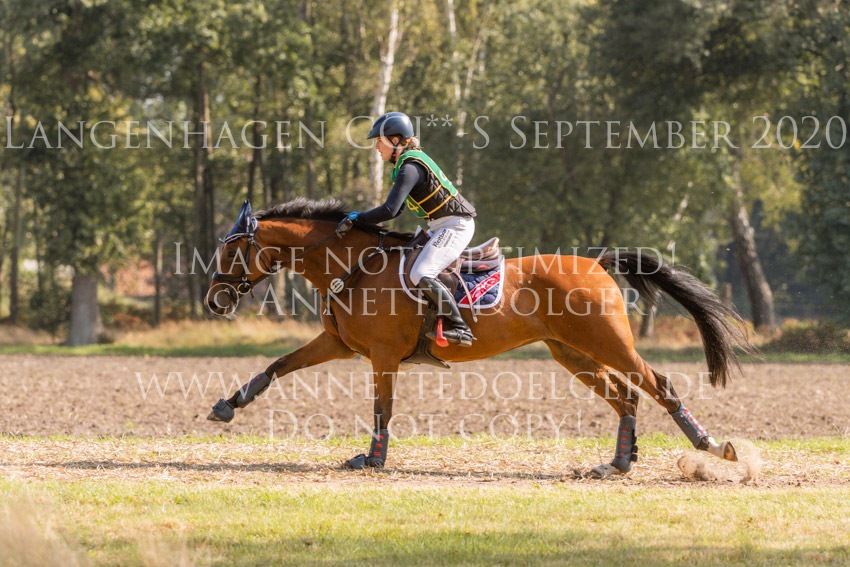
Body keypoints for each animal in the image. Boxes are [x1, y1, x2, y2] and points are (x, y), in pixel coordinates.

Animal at [205, 197, 753, 477]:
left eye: (231, 251)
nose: (214, 301)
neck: (353, 265)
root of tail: (596, 263)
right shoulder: (340, 345)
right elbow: (277, 366)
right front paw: (229, 404)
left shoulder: (383, 355)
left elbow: (382, 409)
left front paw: (373, 461)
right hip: (573, 353)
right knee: (625, 396)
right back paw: (617, 463)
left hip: (608, 344)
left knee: (658, 385)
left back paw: (711, 446)